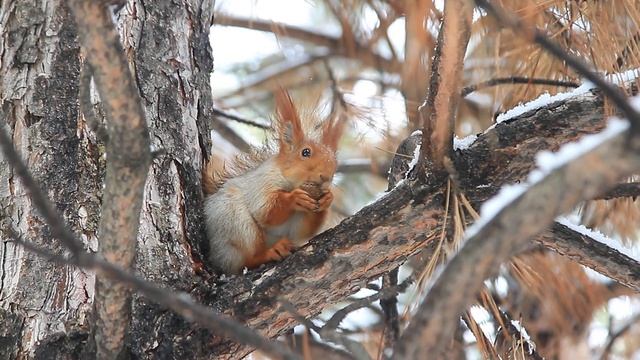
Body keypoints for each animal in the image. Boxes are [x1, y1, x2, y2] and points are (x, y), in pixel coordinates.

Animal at [204, 89, 344, 272]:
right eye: (305, 152)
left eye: (335, 161)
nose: (326, 177)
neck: (290, 182)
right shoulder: (262, 183)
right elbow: (265, 211)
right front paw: (294, 198)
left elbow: (304, 230)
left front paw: (327, 199)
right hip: (235, 222)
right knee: (245, 260)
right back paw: (270, 252)